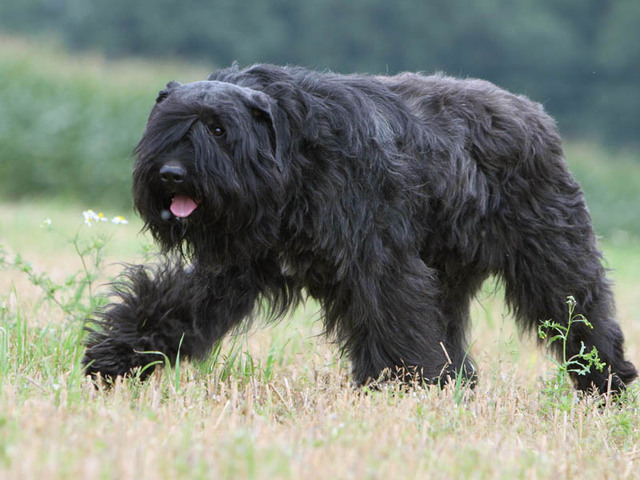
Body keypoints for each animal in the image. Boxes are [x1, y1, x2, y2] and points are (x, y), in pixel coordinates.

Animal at [84, 63, 636, 394]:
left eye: (219, 129)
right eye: (167, 126)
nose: (171, 174)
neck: (296, 157)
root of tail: (534, 114)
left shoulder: (378, 262)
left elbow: (391, 318)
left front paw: (403, 387)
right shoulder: (234, 261)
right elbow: (175, 300)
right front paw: (116, 356)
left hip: (551, 255)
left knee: (581, 312)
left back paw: (605, 381)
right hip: (448, 274)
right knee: (450, 330)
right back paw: (456, 385)